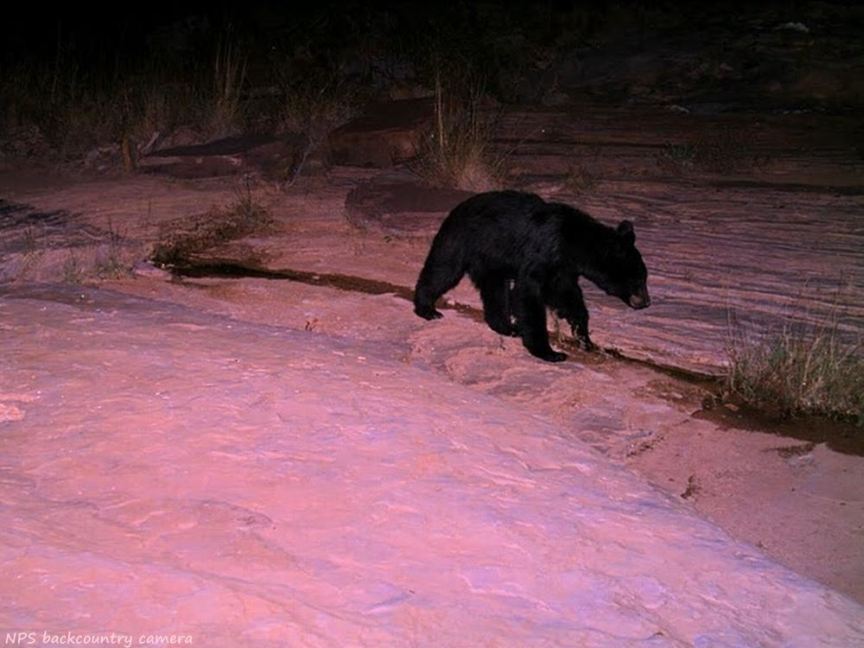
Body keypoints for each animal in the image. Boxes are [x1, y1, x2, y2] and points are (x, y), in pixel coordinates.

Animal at [413, 190, 651, 362]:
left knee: (495, 289)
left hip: (491, 258)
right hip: (462, 239)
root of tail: (456, 208)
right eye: (639, 279)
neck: (573, 242)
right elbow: (528, 294)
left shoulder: (563, 268)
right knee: (444, 269)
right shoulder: (542, 252)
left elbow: (567, 295)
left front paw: (584, 338)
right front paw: (550, 352)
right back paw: (427, 309)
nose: (646, 302)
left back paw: (507, 327)